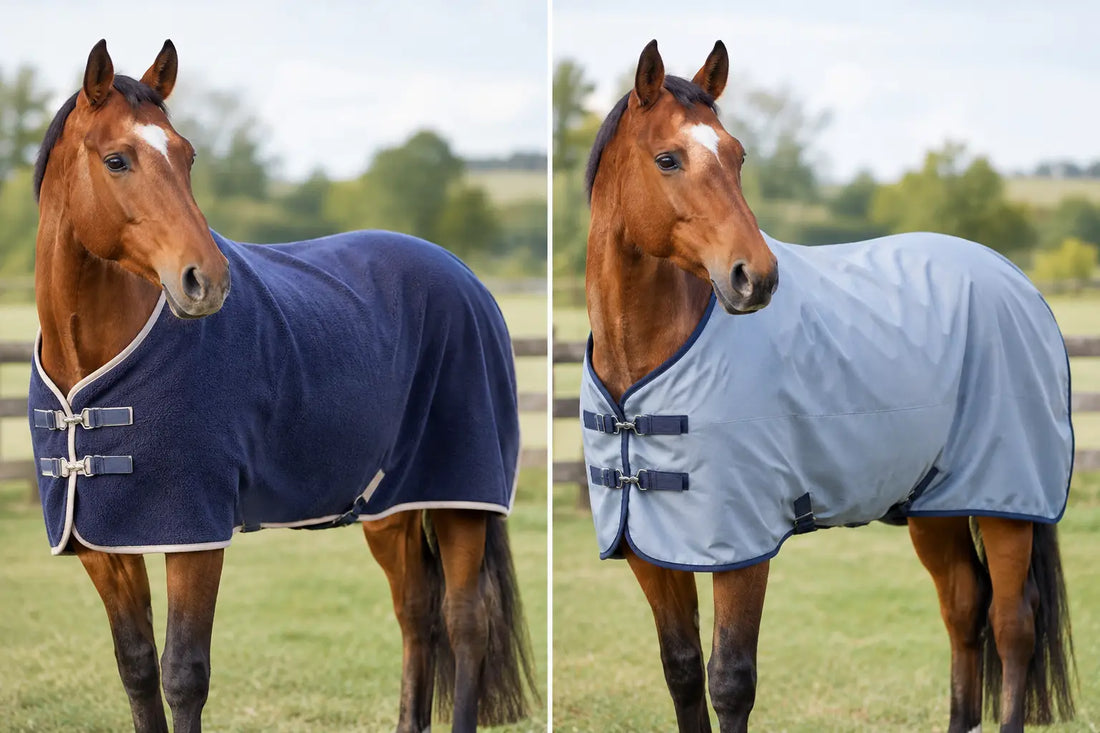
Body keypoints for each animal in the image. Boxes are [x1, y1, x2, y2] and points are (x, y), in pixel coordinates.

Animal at [28, 39, 536, 733]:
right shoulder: (102, 542)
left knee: (465, 624)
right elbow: (136, 667)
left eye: (187, 154)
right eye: (116, 159)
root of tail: (466, 278)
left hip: (461, 498)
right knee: (417, 615)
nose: (206, 280)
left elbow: (183, 675)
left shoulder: (196, 534)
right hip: (390, 508)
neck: (91, 375)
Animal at [580, 39, 1074, 732]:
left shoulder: (744, 546)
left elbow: (730, 681)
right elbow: (680, 671)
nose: (755, 277)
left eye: (737, 155)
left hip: (1005, 503)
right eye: (667, 158)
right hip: (935, 506)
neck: (645, 365)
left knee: (1012, 625)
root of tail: (1015, 280)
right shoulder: (651, 548)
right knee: (964, 611)